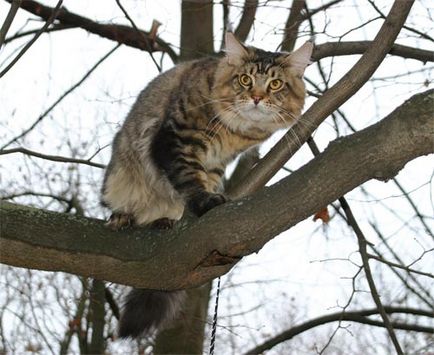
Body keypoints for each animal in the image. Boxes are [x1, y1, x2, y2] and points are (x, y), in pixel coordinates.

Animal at [101, 32, 312, 340]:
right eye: (245, 79)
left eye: (275, 84)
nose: (257, 98)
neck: (235, 130)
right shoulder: (174, 139)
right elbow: (188, 177)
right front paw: (205, 201)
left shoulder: (216, 164)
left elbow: (204, 180)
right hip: (117, 177)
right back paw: (124, 218)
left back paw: (165, 220)